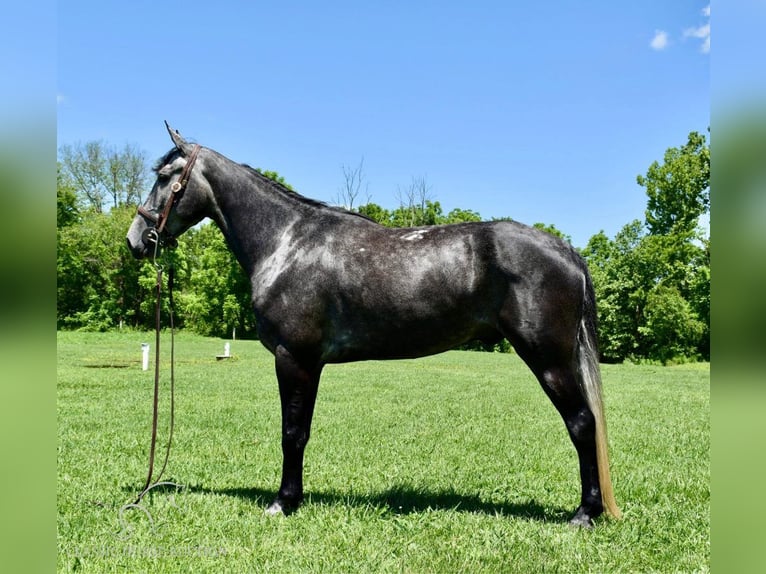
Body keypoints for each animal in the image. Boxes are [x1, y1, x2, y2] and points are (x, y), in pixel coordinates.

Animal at [127, 124, 624, 528]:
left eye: (165, 177)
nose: (136, 240)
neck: (286, 242)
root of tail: (566, 250)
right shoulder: (309, 364)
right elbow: (300, 431)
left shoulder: (295, 359)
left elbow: (292, 433)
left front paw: (283, 502)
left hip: (549, 361)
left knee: (583, 424)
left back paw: (584, 514)